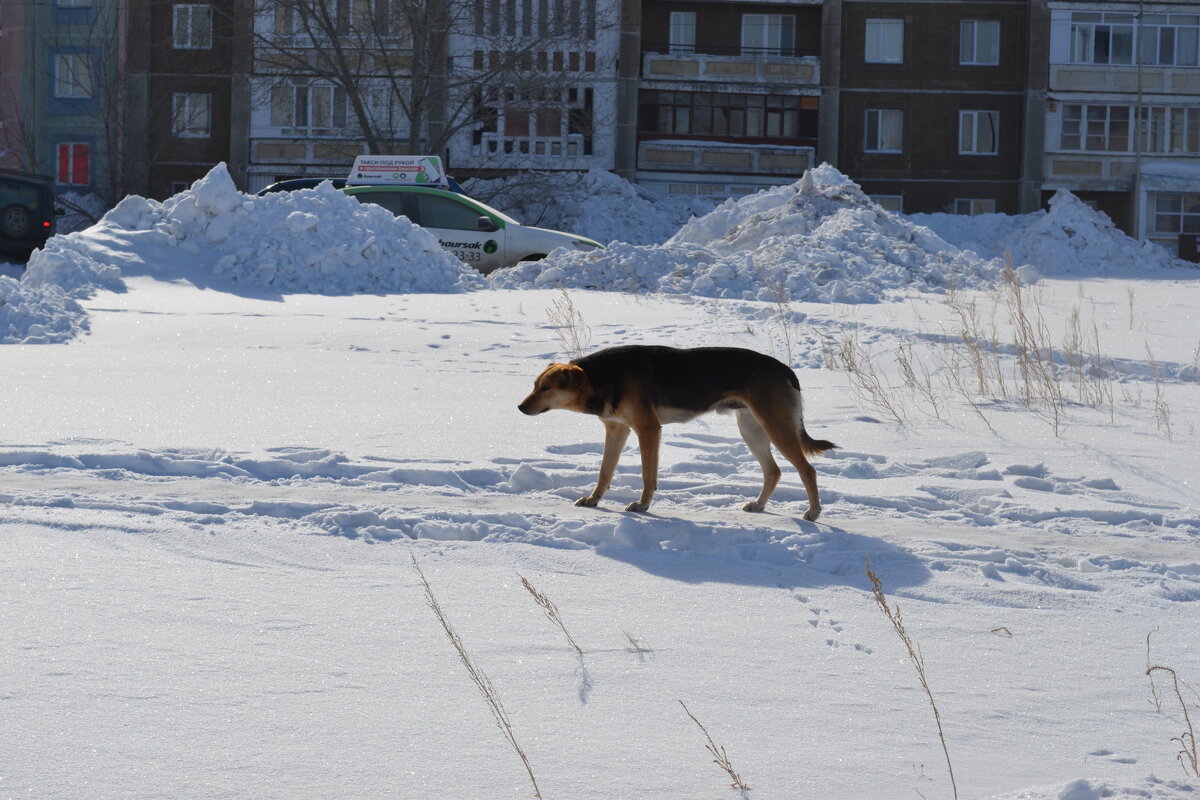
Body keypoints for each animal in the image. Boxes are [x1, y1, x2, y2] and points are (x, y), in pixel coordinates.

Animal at [520, 345, 840, 520]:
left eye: (546, 388)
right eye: (534, 385)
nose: (520, 407)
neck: (604, 376)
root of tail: (786, 369)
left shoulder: (648, 429)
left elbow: (648, 475)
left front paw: (643, 505)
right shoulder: (616, 429)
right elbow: (605, 472)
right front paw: (593, 500)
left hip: (776, 426)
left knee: (807, 471)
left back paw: (813, 513)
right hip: (751, 428)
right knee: (773, 470)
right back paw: (759, 505)